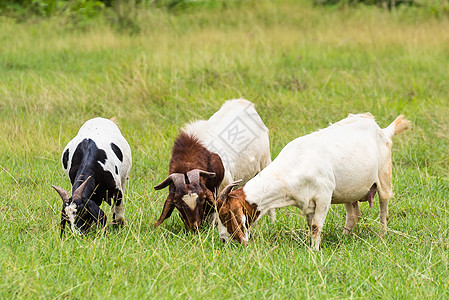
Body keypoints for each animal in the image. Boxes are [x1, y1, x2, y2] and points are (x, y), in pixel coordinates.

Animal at [154, 98, 272, 230]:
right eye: (178, 204)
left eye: (202, 199)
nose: (195, 228)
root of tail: (242, 102)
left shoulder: (223, 186)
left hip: (265, 161)